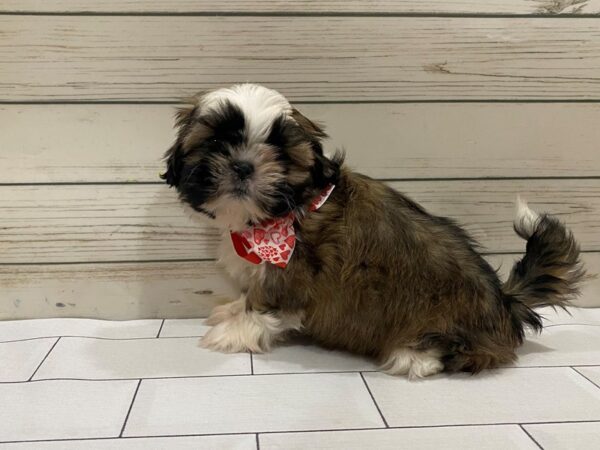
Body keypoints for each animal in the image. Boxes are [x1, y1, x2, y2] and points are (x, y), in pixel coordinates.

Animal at [162, 83, 584, 376]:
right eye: (217, 140)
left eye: (280, 152)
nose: (243, 166)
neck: (282, 215)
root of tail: (506, 302)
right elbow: (249, 293)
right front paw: (230, 311)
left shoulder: (292, 274)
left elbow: (264, 304)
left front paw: (233, 332)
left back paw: (415, 356)